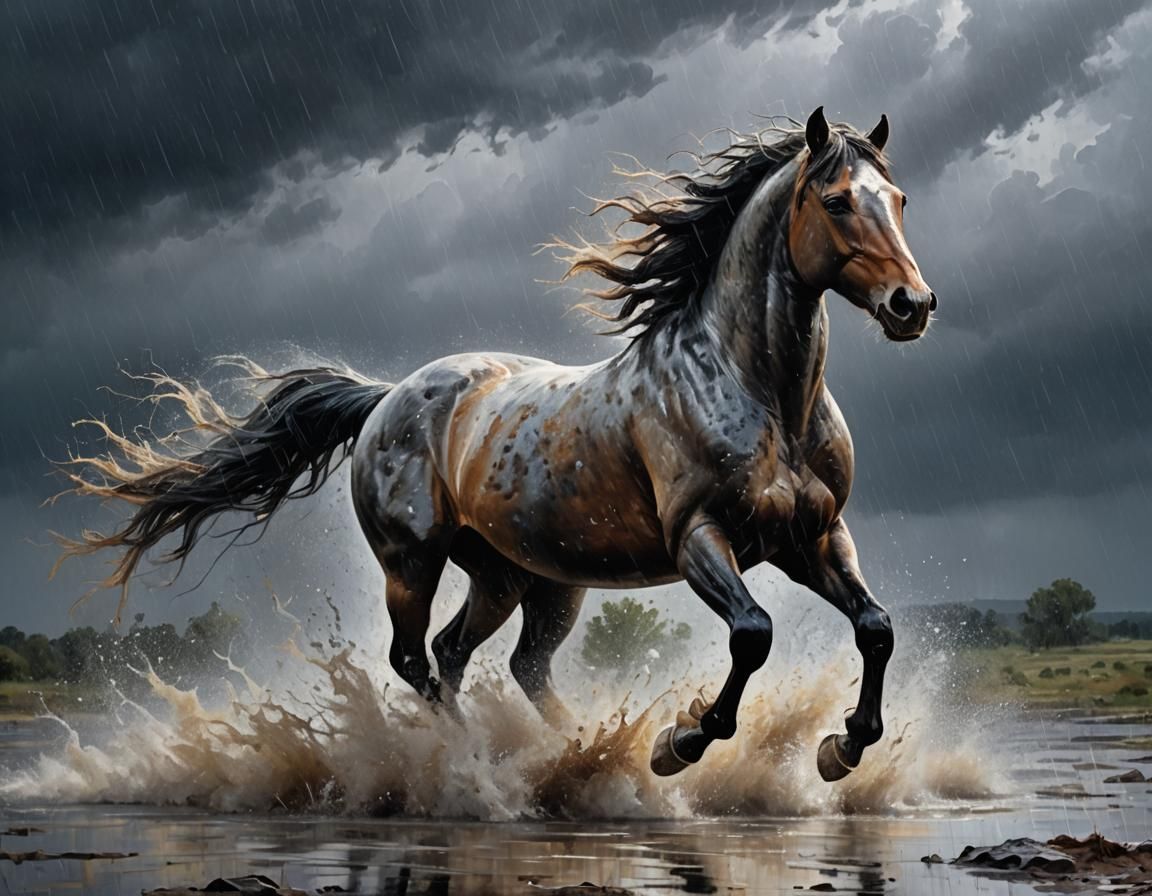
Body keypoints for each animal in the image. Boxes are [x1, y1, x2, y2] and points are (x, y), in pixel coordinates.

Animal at [56, 107, 936, 782]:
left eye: (896, 197)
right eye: (836, 201)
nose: (912, 305)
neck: (759, 390)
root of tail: (386, 397)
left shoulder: (811, 536)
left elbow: (876, 627)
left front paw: (840, 750)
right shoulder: (700, 538)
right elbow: (753, 634)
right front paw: (677, 744)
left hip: (523, 578)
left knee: (493, 661)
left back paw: (563, 753)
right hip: (413, 562)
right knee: (417, 660)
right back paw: (479, 765)